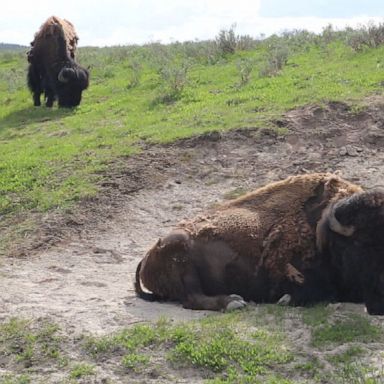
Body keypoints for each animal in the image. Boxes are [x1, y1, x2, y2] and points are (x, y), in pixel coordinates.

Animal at [135, 174, 384, 316]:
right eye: (359, 243)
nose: (378, 305)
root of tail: (147, 256)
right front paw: (285, 300)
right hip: (183, 261)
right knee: (192, 298)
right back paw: (234, 302)